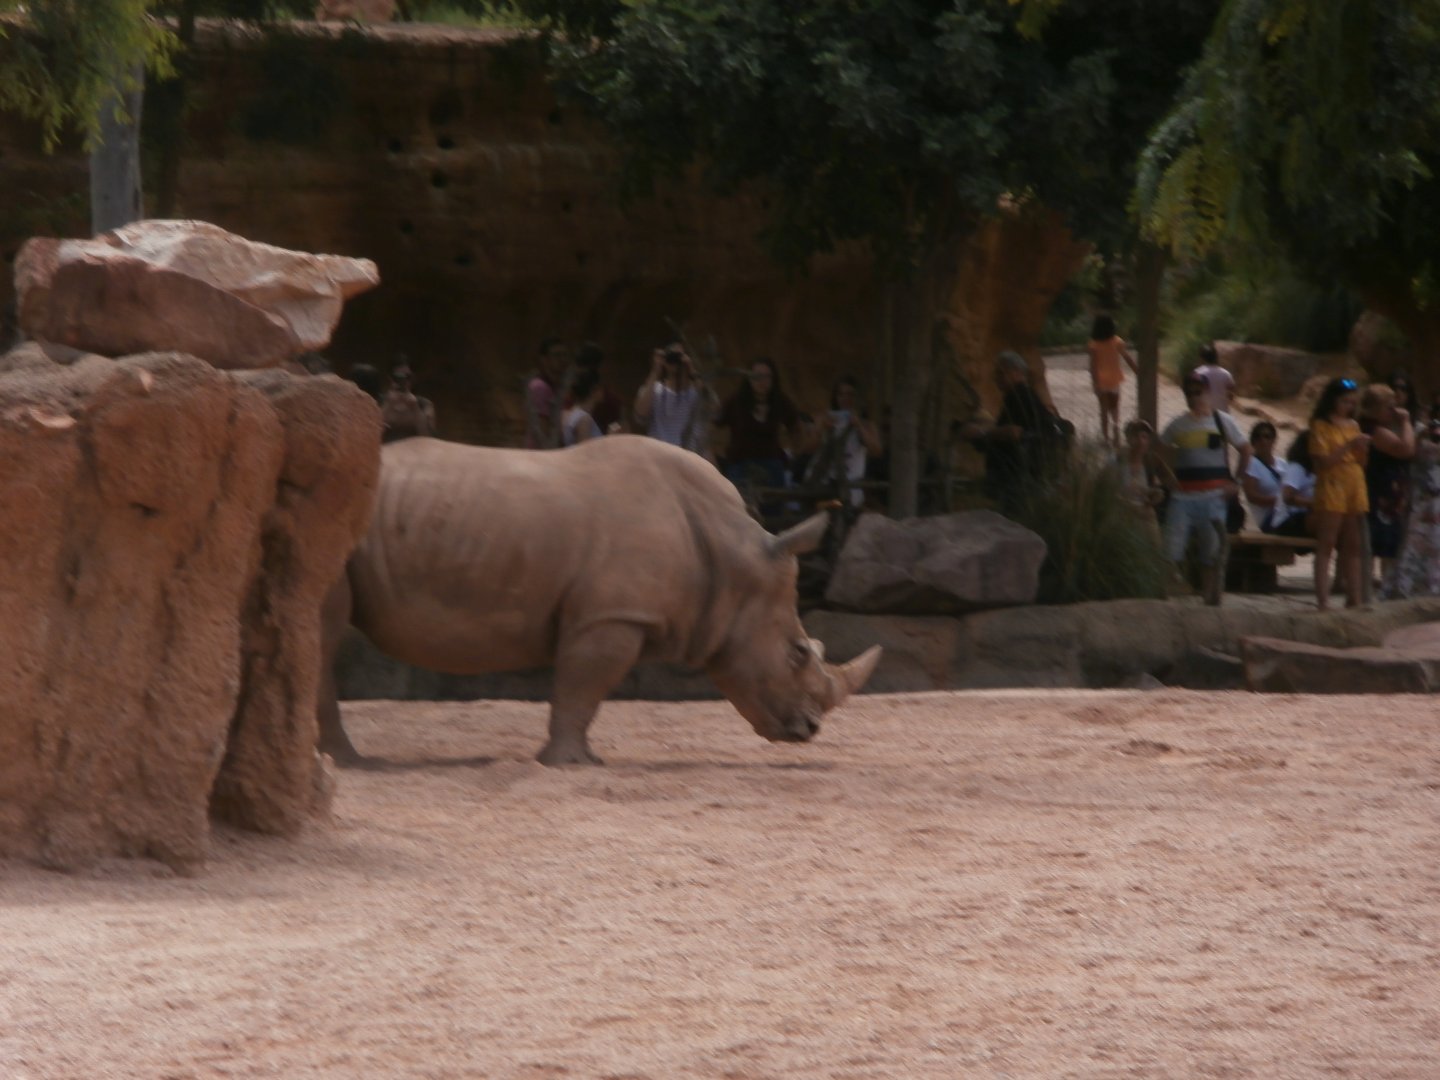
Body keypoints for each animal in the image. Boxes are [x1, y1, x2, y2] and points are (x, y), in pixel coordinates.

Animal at [319, 435, 881, 765]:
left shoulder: (607, 614)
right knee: (322, 631)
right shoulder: (611, 617)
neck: (734, 556)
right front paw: (571, 765)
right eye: (798, 653)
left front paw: (578, 759)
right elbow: (582, 689)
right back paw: (351, 763)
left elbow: (582, 692)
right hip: (337, 523)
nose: (809, 730)